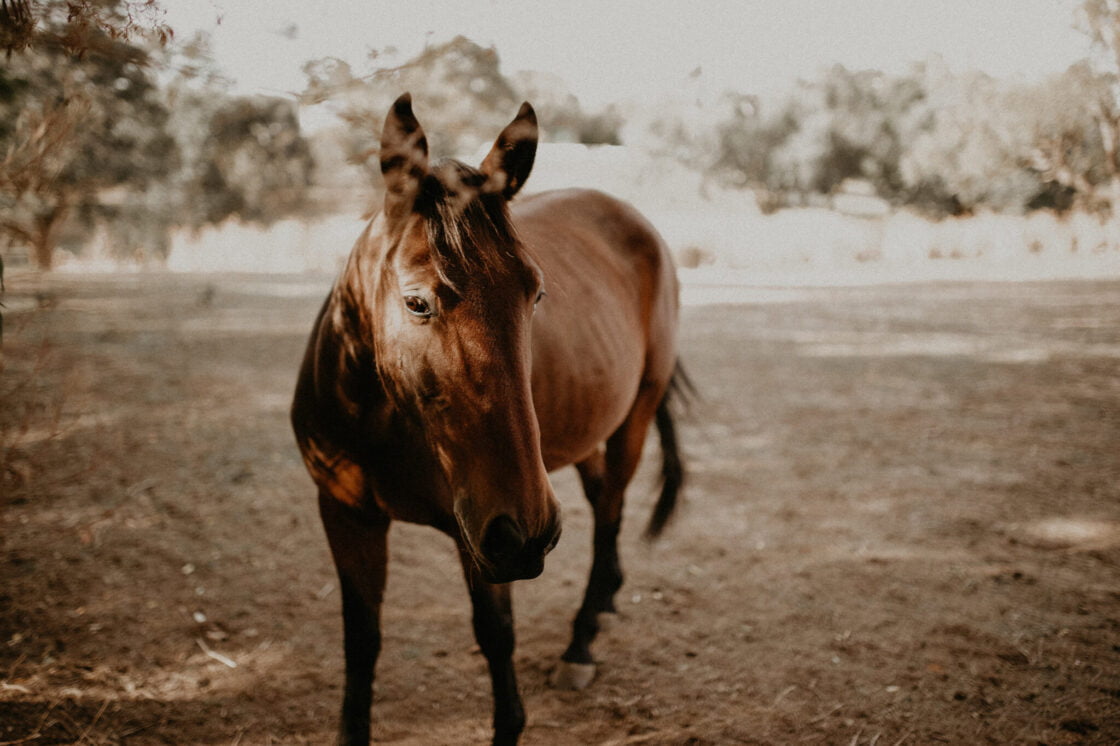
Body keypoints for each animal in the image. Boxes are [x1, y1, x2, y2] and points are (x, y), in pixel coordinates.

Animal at [291, 93, 686, 746]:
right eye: (417, 301)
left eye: (536, 294)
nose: (528, 531)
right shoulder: (346, 515)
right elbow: (361, 642)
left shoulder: (481, 533)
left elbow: (496, 640)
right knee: (603, 497)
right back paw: (605, 600)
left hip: (632, 417)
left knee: (609, 511)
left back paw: (581, 643)